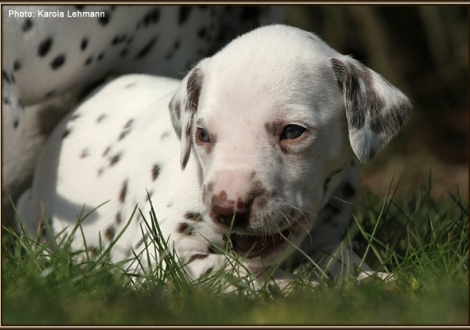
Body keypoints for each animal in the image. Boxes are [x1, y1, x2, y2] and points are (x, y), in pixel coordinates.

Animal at [16, 24, 410, 290]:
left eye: (292, 132)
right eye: (203, 135)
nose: (227, 209)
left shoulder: (327, 240)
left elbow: (340, 260)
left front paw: (375, 279)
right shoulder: (154, 255)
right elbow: (225, 270)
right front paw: (291, 287)